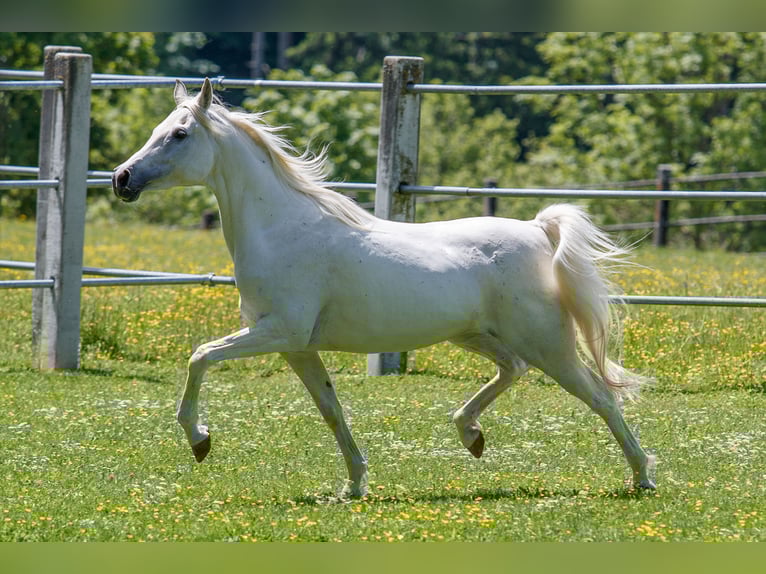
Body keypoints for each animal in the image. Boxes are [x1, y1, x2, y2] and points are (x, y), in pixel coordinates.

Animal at [113, 78, 656, 497]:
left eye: (179, 134)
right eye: (157, 130)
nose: (121, 178)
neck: (283, 229)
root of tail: (537, 229)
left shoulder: (279, 333)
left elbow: (200, 356)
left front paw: (199, 439)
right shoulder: (297, 348)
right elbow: (331, 411)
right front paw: (354, 485)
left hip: (547, 342)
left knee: (601, 397)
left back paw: (642, 477)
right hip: (480, 336)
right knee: (513, 370)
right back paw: (471, 434)